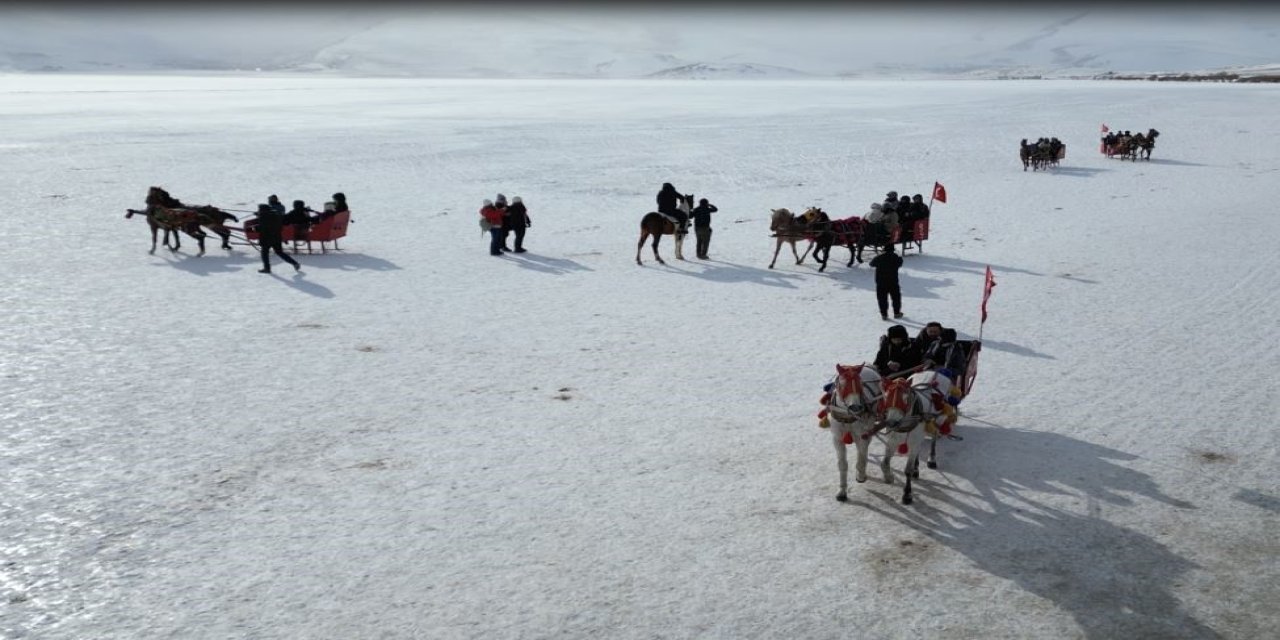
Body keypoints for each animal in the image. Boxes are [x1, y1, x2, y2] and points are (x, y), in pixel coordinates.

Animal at [875, 371, 957, 504]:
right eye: (886, 396)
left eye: (905, 398)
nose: (892, 423)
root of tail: (935, 371)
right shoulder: (892, 441)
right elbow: (884, 463)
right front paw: (889, 477)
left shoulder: (913, 443)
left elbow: (907, 470)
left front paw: (907, 494)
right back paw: (916, 468)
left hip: (938, 420)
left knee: (934, 438)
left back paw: (931, 460)